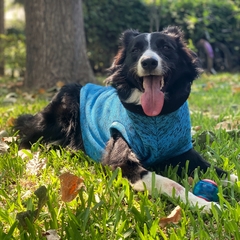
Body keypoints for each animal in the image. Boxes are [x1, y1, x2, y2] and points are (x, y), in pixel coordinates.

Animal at [14, 25, 238, 211]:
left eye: (166, 47)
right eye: (135, 51)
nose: (148, 62)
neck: (155, 116)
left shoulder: (183, 152)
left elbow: (218, 170)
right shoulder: (121, 162)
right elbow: (170, 182)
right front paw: (203, 204)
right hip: (62, 110)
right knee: (25, 137)